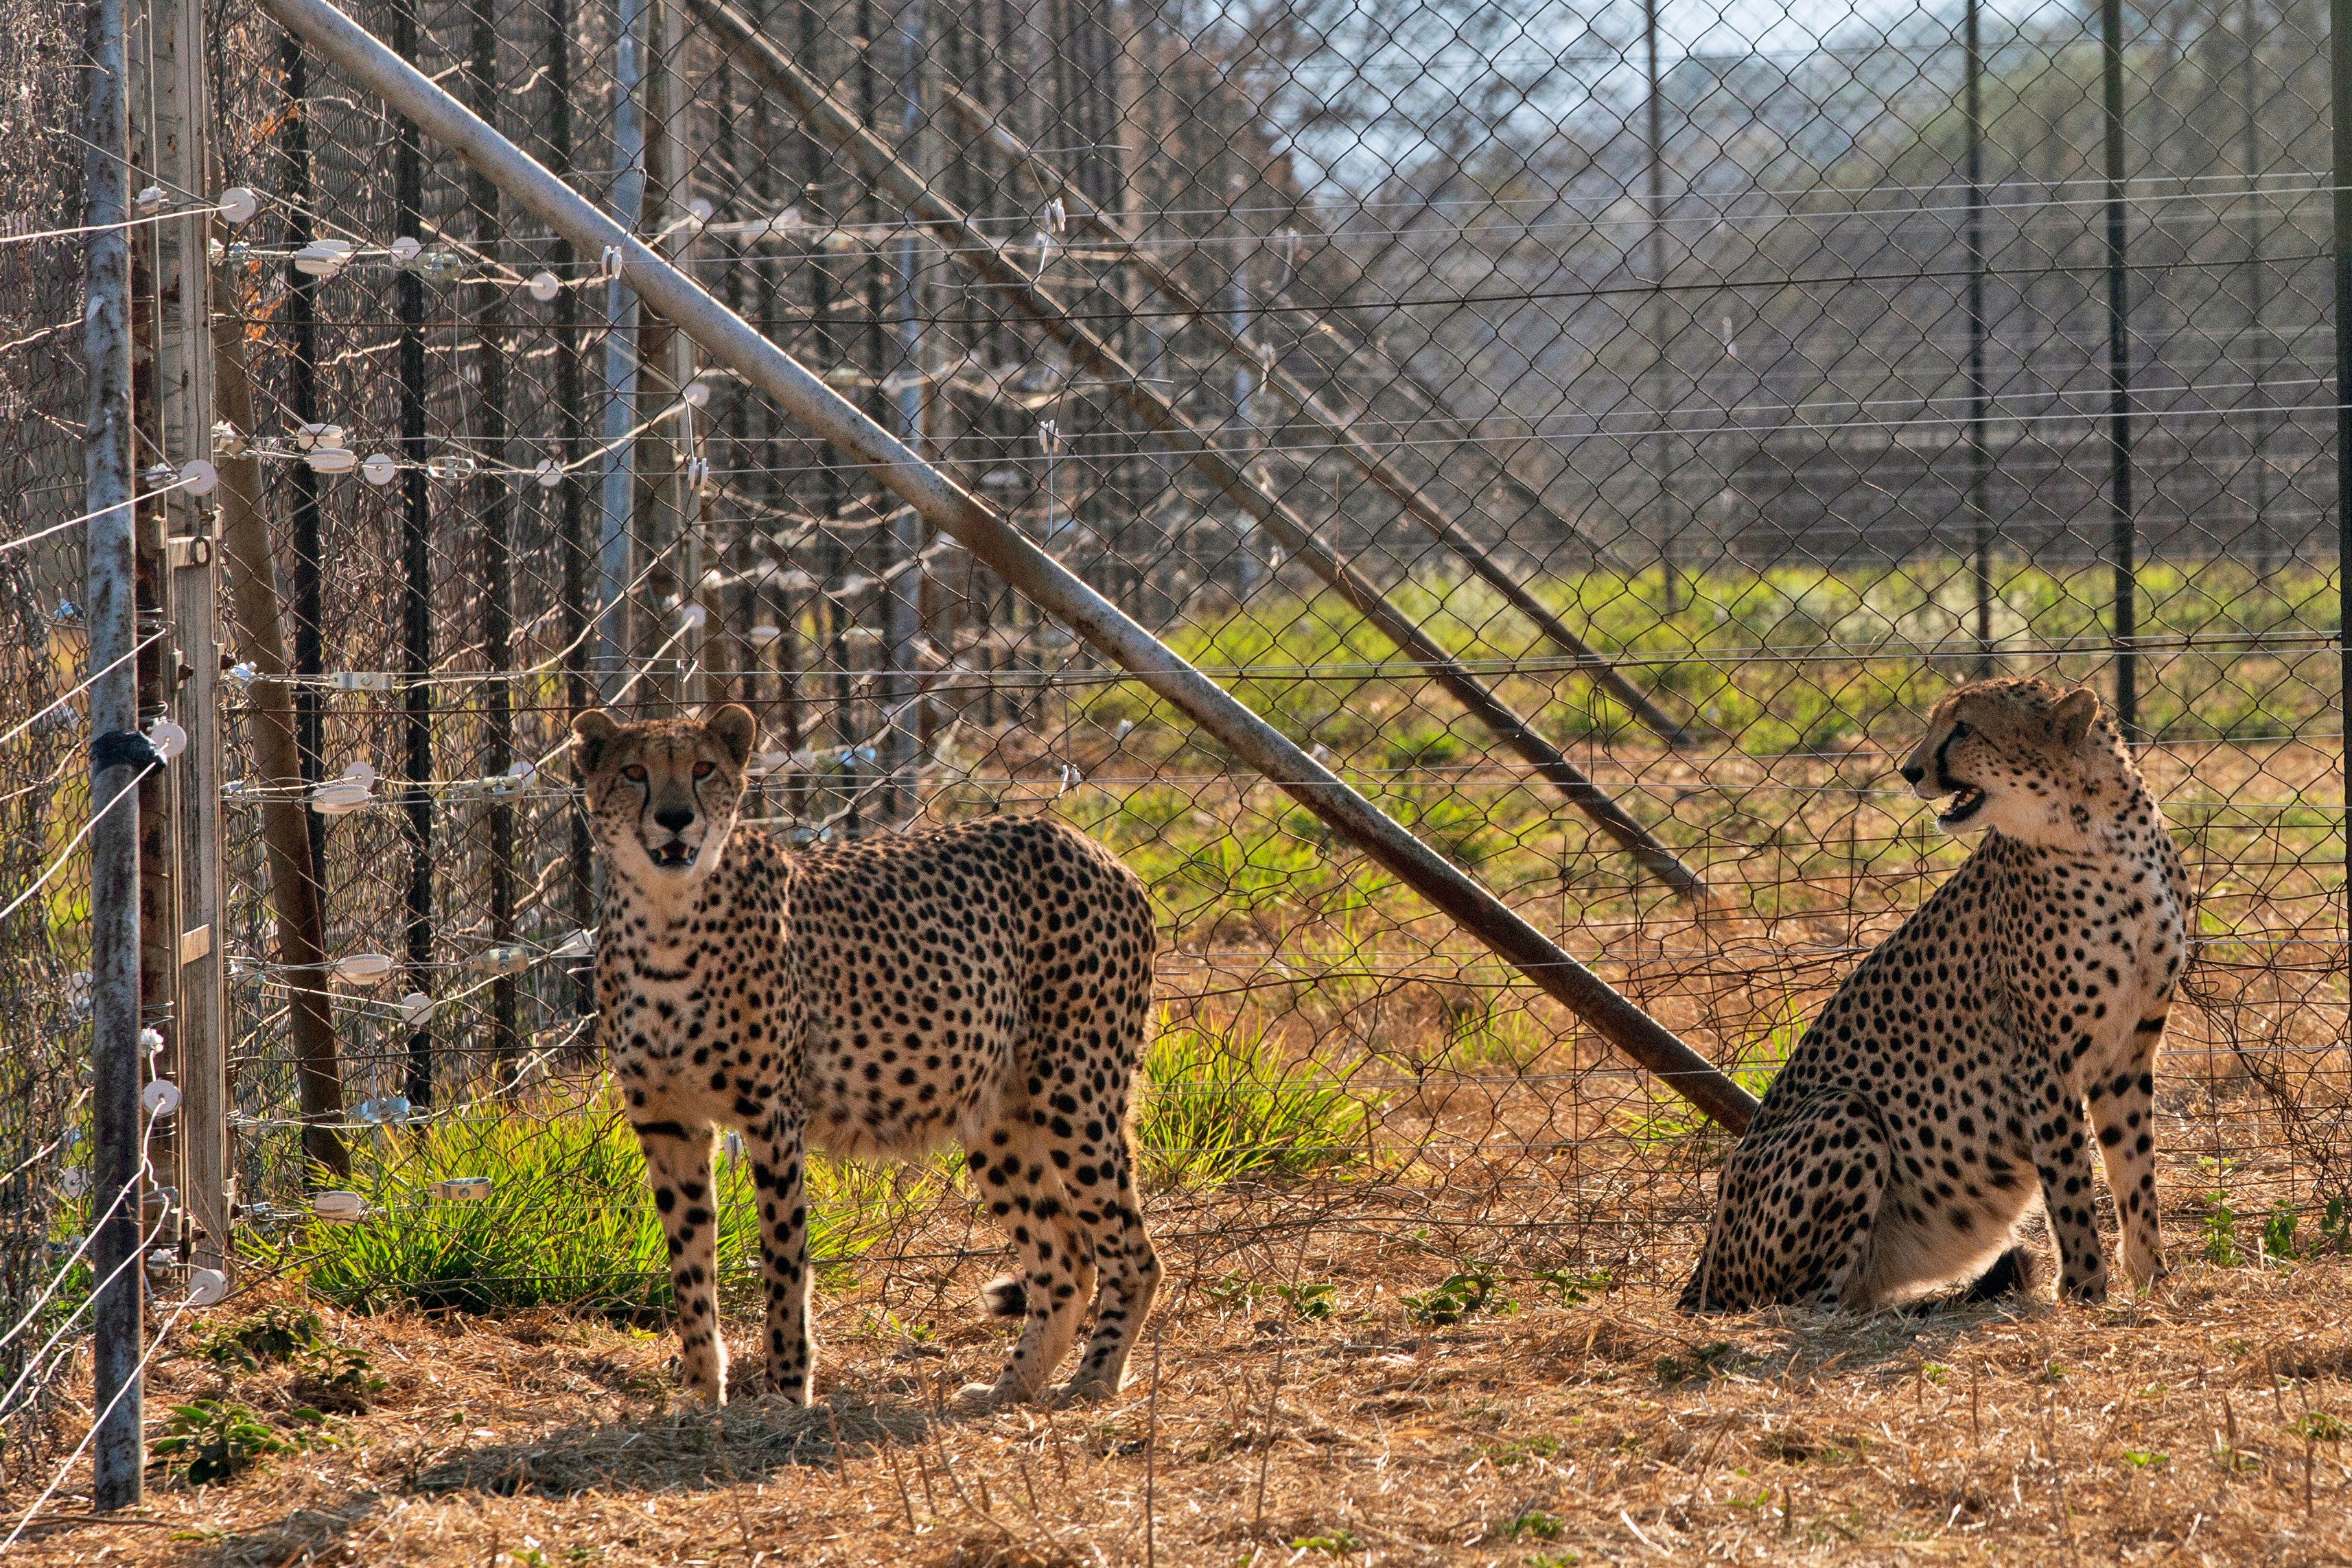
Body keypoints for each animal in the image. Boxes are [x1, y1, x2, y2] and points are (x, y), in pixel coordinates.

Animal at [569, 710, 1157, 1410]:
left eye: (702, 768)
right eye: (634, 771)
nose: (676, 817)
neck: (665, 915)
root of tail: (1082, 841)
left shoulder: (772, 1117)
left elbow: (783, 1261)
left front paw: (786, 1391)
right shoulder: (667, 1122)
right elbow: (689, 1264)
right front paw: (700, 1391)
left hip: (1074, 1092)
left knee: (1132, 1253)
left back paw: (1093, 1379)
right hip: (997, 1117)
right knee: (1065, 1255)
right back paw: (1008, 1388)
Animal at [1684, 677, 2191, 1316]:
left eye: (1964, 728)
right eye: (1936, 723)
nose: (1909, 770)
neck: (2103, 835)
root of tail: (1701, 1269)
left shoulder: (2128, 1051)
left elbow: (2134, 1171)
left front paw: (2153, 1281)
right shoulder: (2043, 1059)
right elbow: (2070, 1182)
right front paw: (2084, 1290)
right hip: (1844, 1111)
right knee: (1806, 1300)